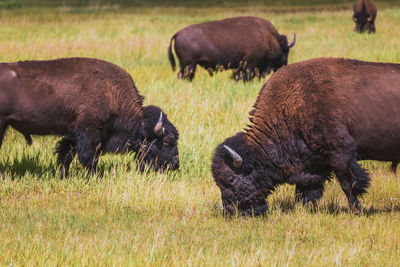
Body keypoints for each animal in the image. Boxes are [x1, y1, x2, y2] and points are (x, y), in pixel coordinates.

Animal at [0, 57, 179, 177]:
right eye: (167, 141)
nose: (176, 164)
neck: (112, 92)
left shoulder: (73, 134)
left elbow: (66, 154)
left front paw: (63, 175)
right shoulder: (89, 131)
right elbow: (89, 157)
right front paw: (94, 176)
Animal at [167, 16, 296, 82]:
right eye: (286, 50)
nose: (285, 65)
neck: (267, 37)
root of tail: (178, 33)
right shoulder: (250, 64)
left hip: (189, 65)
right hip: (188, 65)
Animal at [211, 57, 400, 217]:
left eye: (230, 179)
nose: (230, 211)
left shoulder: (341, 156)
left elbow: (348, 185)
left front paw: (356, 211)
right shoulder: (313, 164)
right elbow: (305, 190)